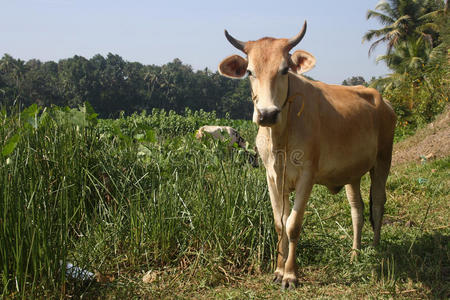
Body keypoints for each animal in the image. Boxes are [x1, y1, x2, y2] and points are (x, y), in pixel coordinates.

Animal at [219, 21, 398, 288]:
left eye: (284, 70)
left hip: (383, 160)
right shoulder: (272, 177)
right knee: (357, 210)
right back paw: (354, 254)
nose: (267, 114)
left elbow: (293, 225)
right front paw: (278, 270)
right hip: (353, 173)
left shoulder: (307, 176)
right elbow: (279, 224)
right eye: (250, 72)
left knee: (378, 203)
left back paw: (375, 249)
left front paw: (290, 275)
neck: (280, 137)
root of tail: (383, 100)